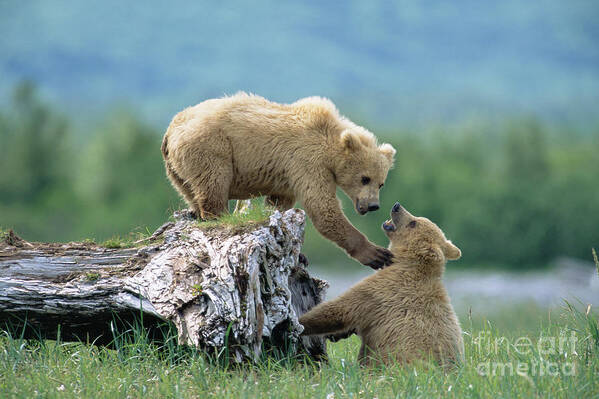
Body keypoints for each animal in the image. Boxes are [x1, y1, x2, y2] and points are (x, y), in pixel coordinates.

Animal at [300, 203, 464, 368]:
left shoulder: (381, 292)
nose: (397, 206)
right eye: (417, 219)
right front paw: (337, 334)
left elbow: (340, 309)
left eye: (413, 223)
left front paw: (301, 323)